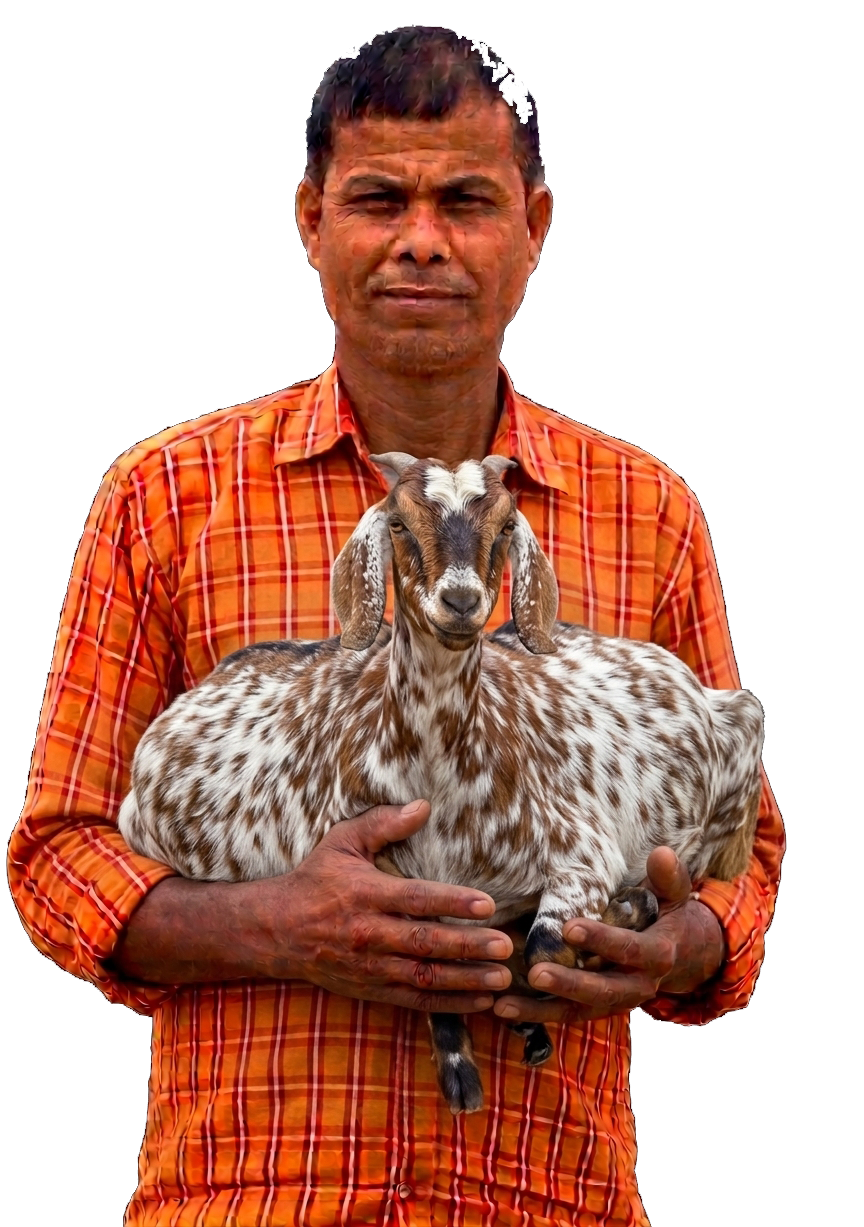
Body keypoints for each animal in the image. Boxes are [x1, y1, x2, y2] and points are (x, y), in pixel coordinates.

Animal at [118, 452, 764, 1114]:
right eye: (400, 524)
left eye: (504, 529)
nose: (460, 601)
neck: (437, 769)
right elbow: (454, 980)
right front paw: (469, 1068)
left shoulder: (583, 854)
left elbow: (543, 952)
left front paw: (590, 946)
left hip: (745, 731)